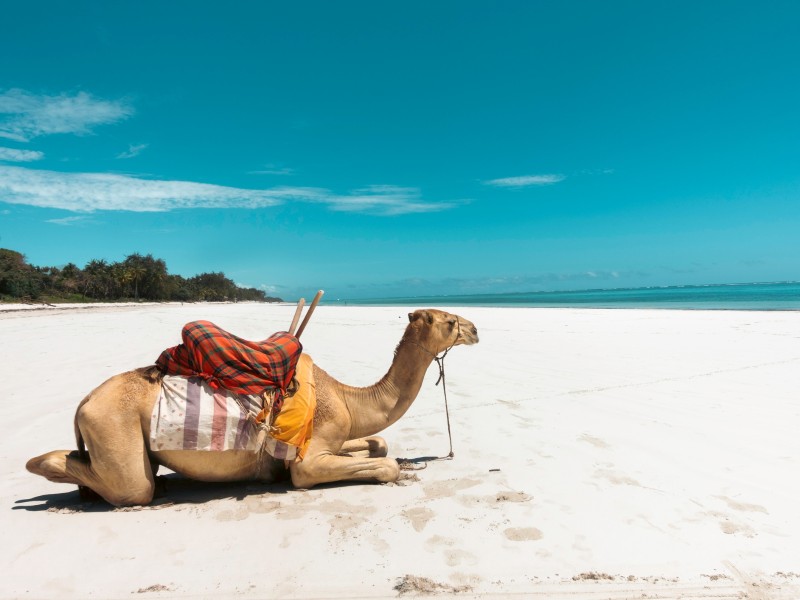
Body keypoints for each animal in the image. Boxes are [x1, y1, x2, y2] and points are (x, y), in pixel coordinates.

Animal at [27, 309, 478, 506]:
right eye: (447, 321)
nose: (475, 328)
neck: (347, 397)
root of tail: (85, 402)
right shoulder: (308, 462)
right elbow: (383, 466)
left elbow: (380, 444)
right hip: (113, 429)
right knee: (129, 487)